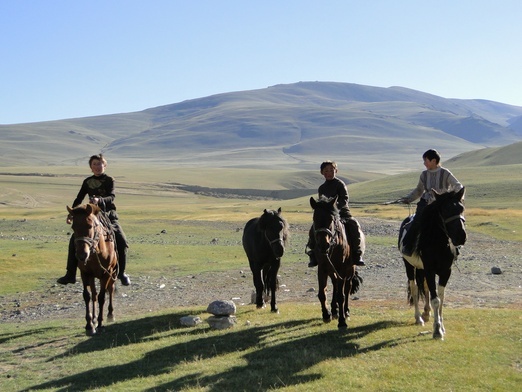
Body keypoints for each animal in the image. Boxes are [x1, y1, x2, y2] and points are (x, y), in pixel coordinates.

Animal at [66, 204, 117, 336]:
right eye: (73, 227)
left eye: (89, 226)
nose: (82, 255)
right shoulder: (85, 273)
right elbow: (87, 296)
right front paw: (89, 325)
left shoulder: (106, 274)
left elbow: (102, 297)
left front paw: (100, 324)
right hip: (93, 277)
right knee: (94, 294)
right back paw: (93, 319)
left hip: (113, 273)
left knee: (110, 289)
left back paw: (110, 314)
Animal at [308, 196, 362, 328]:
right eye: (314, 218)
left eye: (331, 219)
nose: (323, 245)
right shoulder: (322, 267)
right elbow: (322, 293)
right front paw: (326, 315)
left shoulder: (341, 269)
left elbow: (341, 296)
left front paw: (342, 322)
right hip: (332, 270)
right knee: (335, 285)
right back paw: (333, 311)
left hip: (350, 270)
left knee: (347, 288)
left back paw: (345, 311)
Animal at [396, 188, 466, 338]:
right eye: (445, 210)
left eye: (462, 208)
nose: (461, 237)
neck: (438, 244)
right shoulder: (430, 270)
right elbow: (435, 299)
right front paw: (437, 330)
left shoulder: (446, 271)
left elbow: (441, 298)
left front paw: (441, 326)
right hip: (409, 266)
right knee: (415, 288)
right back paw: (419, 318)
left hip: (421, 269)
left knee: (425, 287)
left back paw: (427, 313)